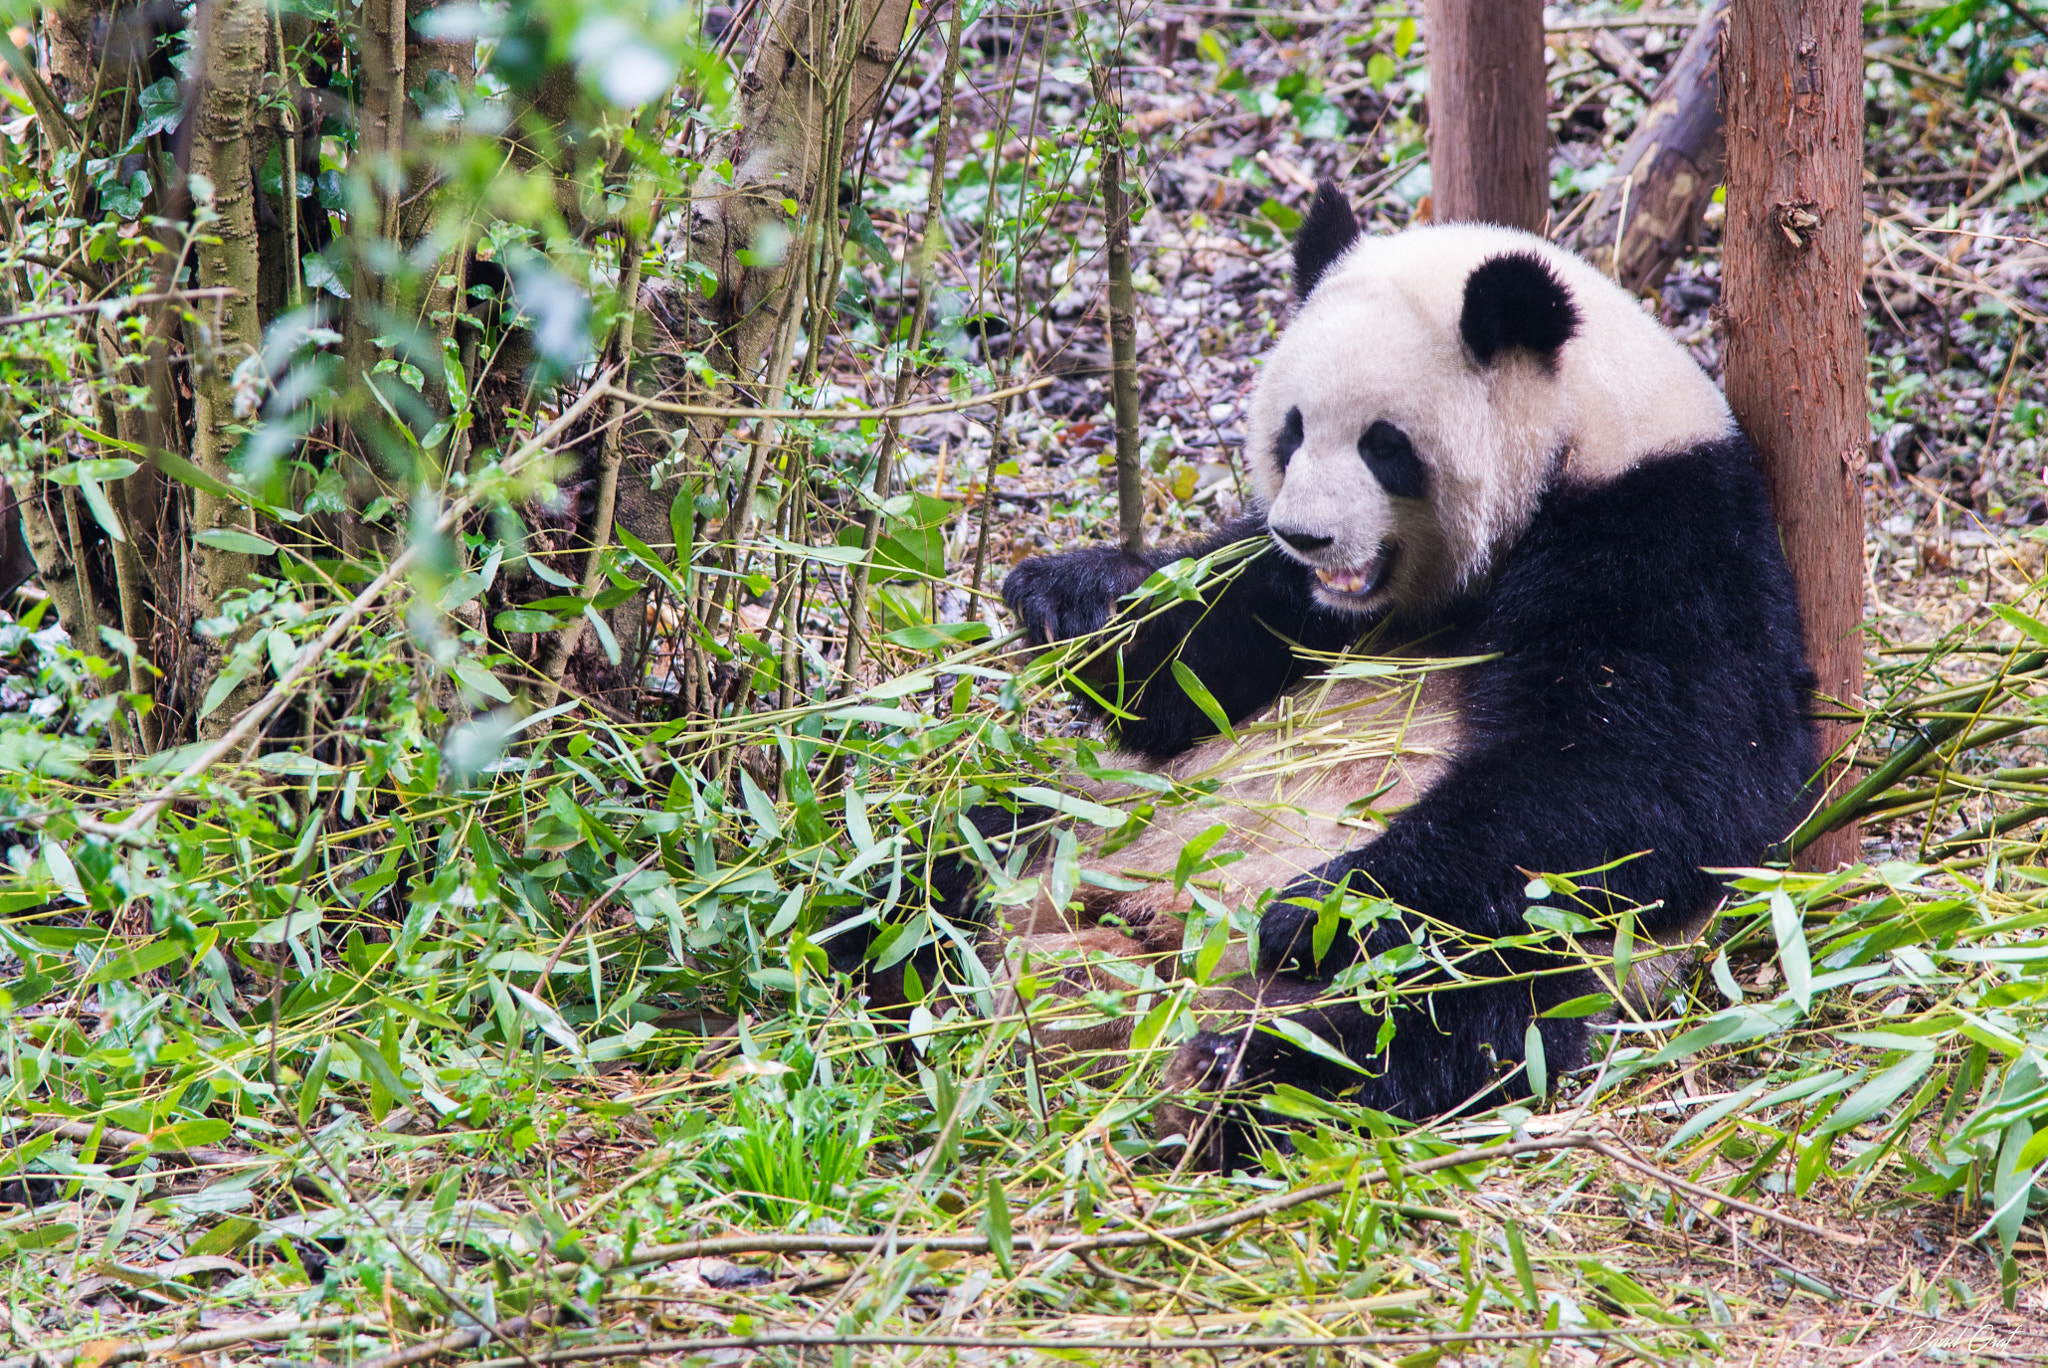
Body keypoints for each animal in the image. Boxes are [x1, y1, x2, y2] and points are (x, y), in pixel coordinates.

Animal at [829, 182, 1816, 1171]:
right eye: (1292, 429)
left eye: (1385, 446)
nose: (1304, 534)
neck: (1580, 436)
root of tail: (1148, 944)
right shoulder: (1296, 603)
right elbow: (1192, 665)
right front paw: (1069, 597)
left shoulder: (1669, 534)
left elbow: (1644, 779)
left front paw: (1313, 909)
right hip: (1100, 814)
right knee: (936, 854)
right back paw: (865, 958)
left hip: (1541, 952)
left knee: (1443, 1005)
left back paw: (1238, 1072)